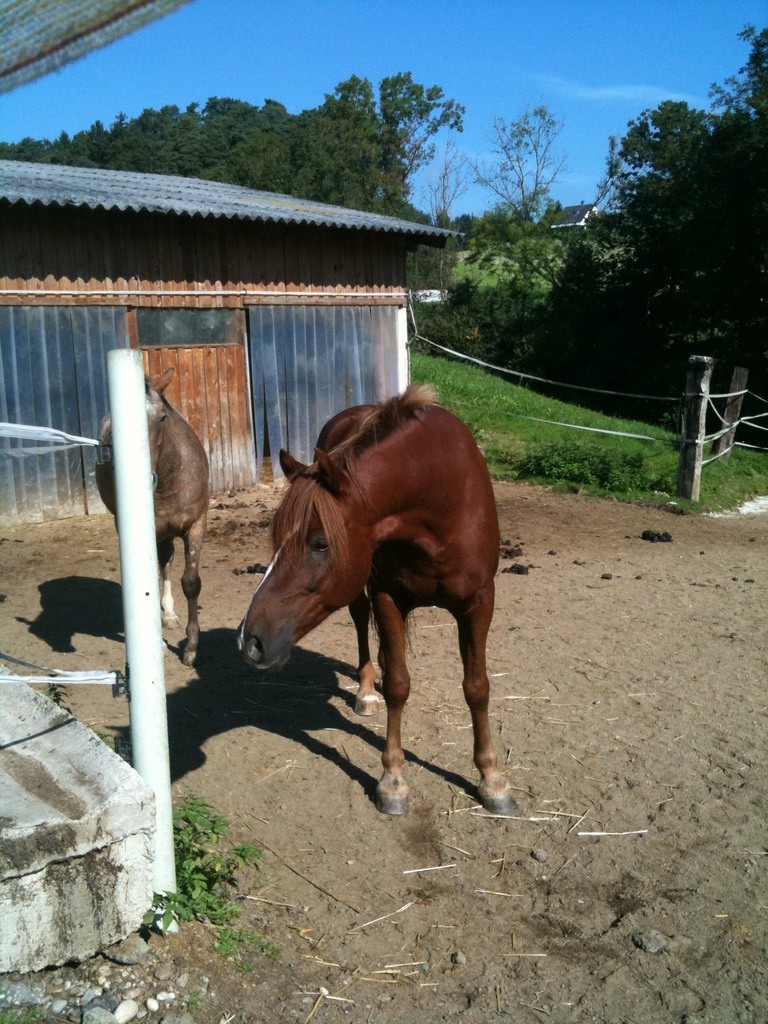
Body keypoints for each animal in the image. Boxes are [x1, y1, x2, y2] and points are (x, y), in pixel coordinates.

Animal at [95, 368, 210, 663]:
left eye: (162, 417)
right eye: (116, 428)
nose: (142, 477)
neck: (168, 480)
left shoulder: (196, 525)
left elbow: (191, 583)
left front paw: (191, 647)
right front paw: (157, 643)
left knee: (166, 561)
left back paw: (168, 615)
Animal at [239, 385, 518, 815]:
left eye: (320, 543)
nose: (250, 641)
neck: (440, 493)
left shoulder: (478, 602)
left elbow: (477, 687)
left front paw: (492, 778)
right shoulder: (388, 596)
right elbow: (399, 686)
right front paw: (393, 780)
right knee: (361, 623)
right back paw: (368, 690)